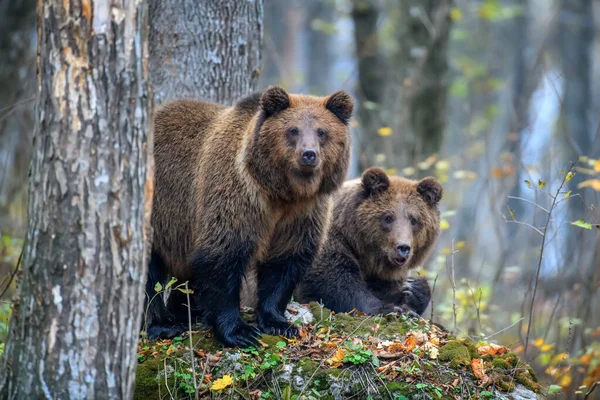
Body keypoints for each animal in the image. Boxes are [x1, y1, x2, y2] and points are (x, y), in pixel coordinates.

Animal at [146, 85, 352, 346]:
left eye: (322, 131)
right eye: (293, 130)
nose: (308, 154)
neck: (281, 193)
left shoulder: (302, 214)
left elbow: (284, 264)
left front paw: (279, 323)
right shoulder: (238, 197)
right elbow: (222, 256)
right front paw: (239, 332)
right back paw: (163, 324)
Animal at [298, 167, 442, 318]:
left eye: (414, 220)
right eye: (388, 217)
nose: (403, 247)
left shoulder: (381, 274)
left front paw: (414, 289)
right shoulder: (328, 238)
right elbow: (335, 280)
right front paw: (387, 308)